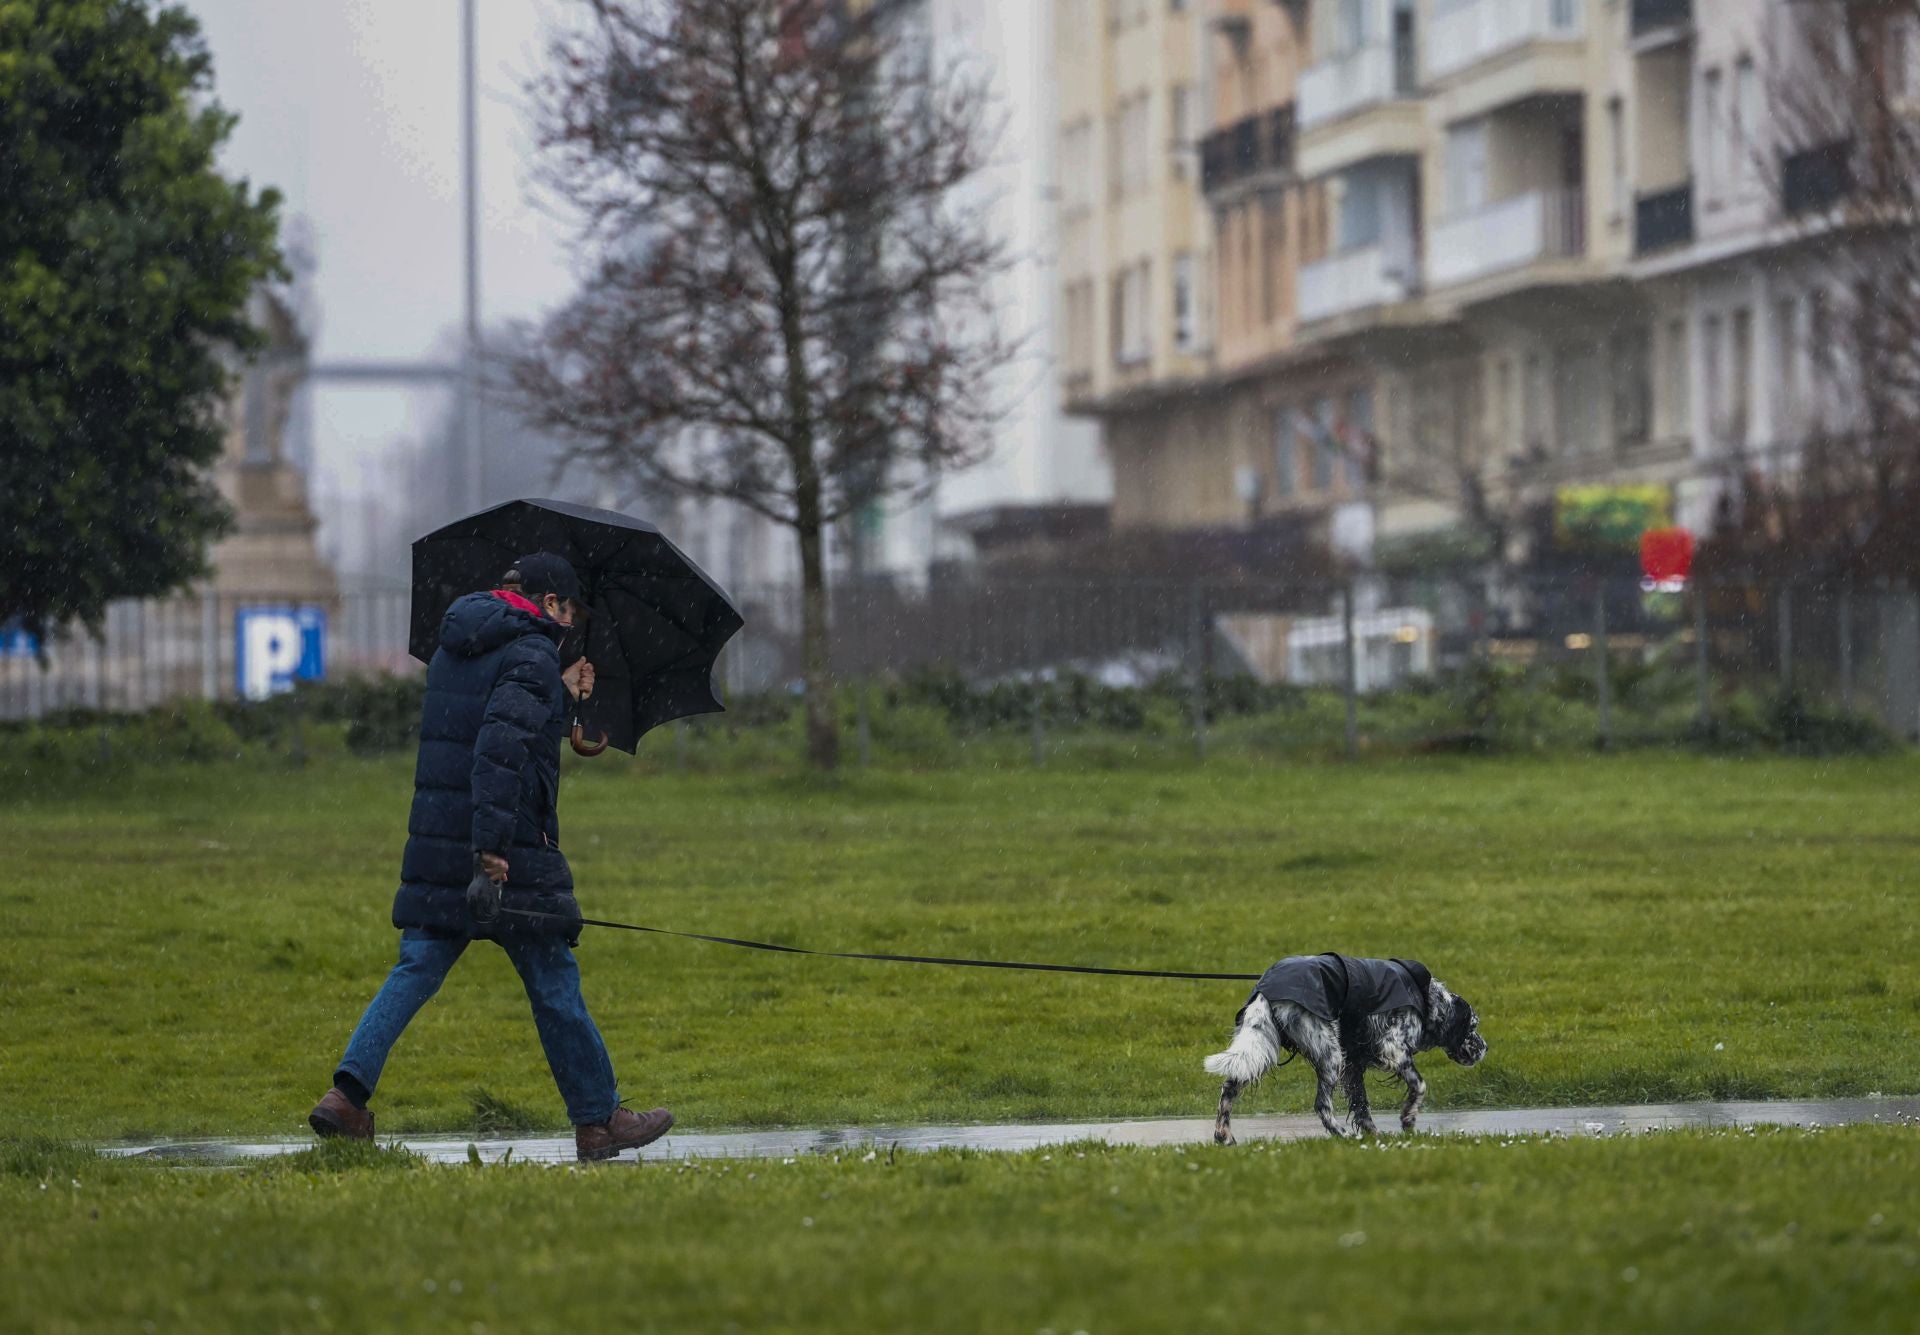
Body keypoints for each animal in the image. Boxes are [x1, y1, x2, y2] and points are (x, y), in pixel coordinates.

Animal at [1205, 948, 1489, 1152]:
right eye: (1473, 1027)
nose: (1485, 1048)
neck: (1426, 998)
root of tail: (1266, 989)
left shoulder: (1354, 1066)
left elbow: (1361, 1105)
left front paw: (1375, 1137)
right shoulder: (1393, 1048)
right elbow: (1419, 1086)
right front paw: (1407, 1119)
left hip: (1263, 1047)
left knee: (1229, 1088)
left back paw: (1224, 1135)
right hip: (1330, 1055)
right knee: (1322, 1104)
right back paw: (1341, 1135)